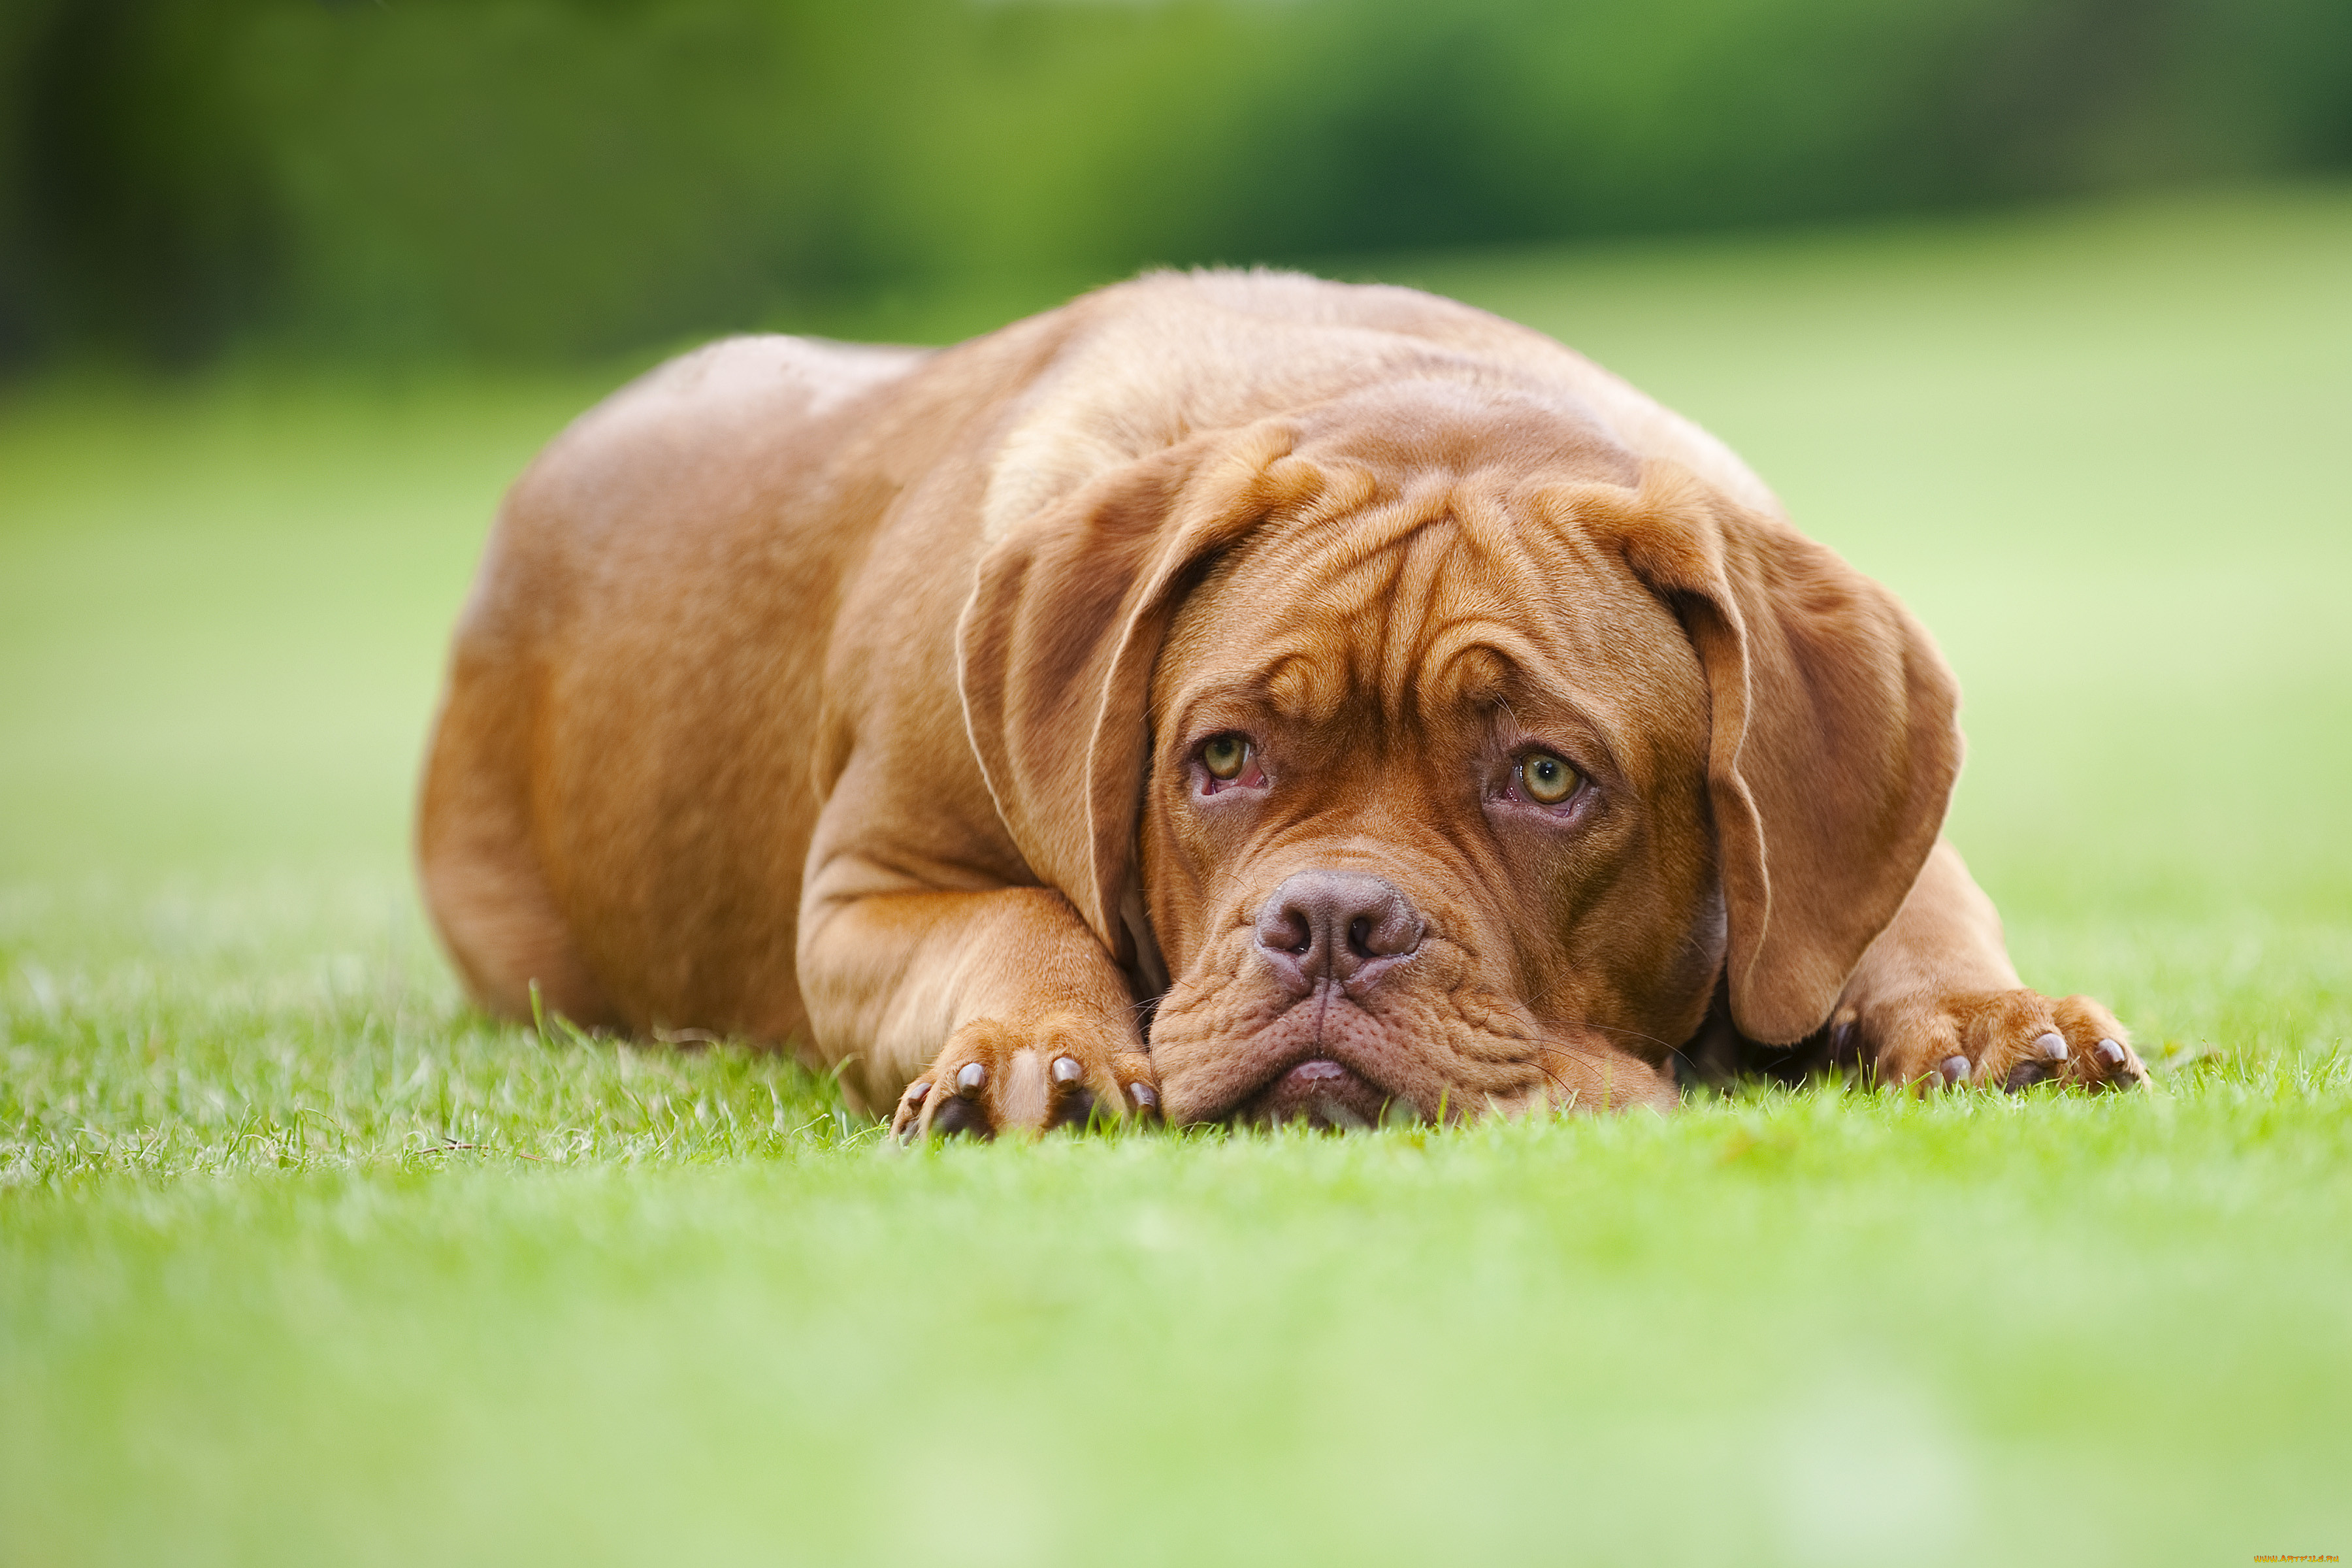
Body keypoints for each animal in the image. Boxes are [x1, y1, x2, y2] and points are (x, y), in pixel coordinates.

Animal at [414, 270, 2145, 1128]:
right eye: (1224, 757)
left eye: (1546, 778)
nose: (1329, 922)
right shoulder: (869, 889)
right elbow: (1016, 917)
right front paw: (1035, 1050)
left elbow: (1905, 899)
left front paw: (1988, 1014)